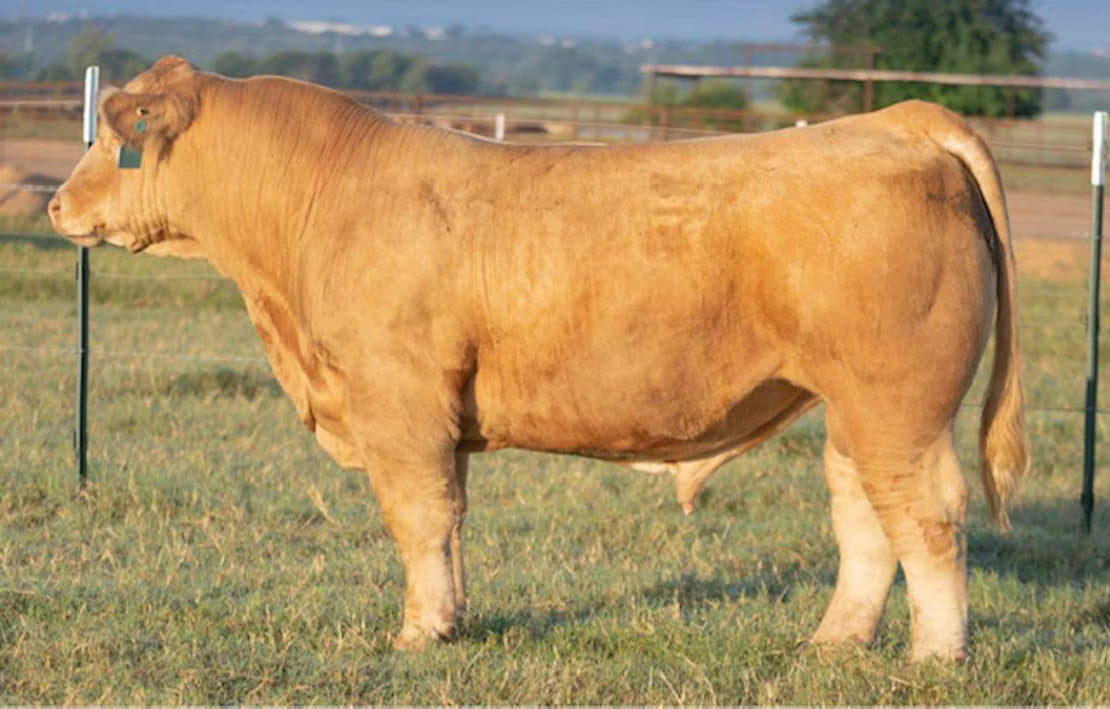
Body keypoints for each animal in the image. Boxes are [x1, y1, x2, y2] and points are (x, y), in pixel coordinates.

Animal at [48, 56, 1028, 662]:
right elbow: (448, 520)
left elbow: (419, 518)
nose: (57, 203)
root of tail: (895, 119)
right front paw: (452, 619)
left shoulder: (400, 403)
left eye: (108, 138)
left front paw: (420, 631)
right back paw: (834, 642)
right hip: (854, 411)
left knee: (929, 517)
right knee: (866, 516)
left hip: (899, 404)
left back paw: (936, 656)